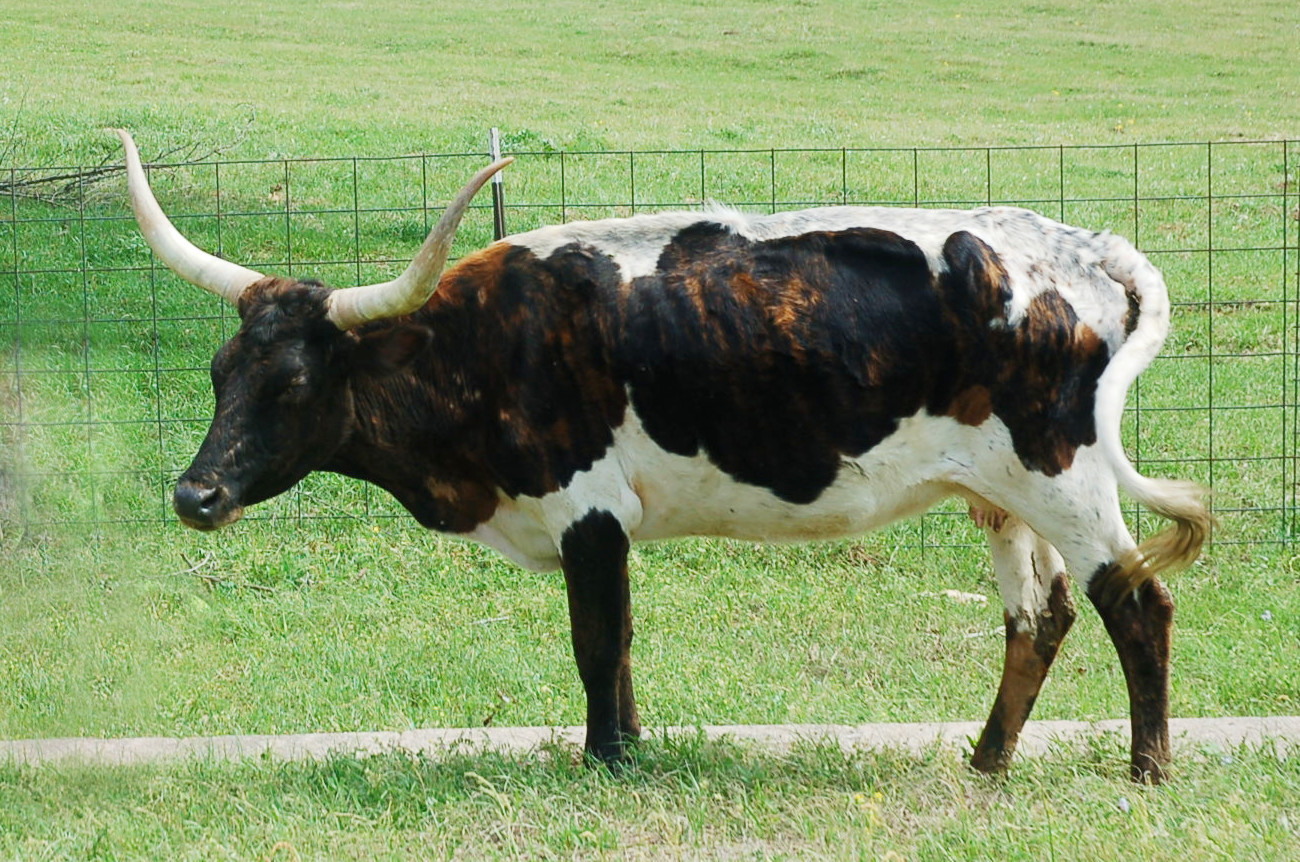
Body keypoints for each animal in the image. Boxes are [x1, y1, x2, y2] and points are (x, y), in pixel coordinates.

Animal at [116, 130, 1210, 783]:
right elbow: (622, 643)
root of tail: (1082, 247)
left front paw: (605, 757)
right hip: (1003, 495)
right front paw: (631, 746)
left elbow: (599, 641)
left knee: (1135, 602)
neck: (485, 341)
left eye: (294, 383)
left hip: (1062, 476)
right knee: (1039, 617)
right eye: (221, 372)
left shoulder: (588, 511)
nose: (195, 493)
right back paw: (986, 763)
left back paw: (1146, 771)